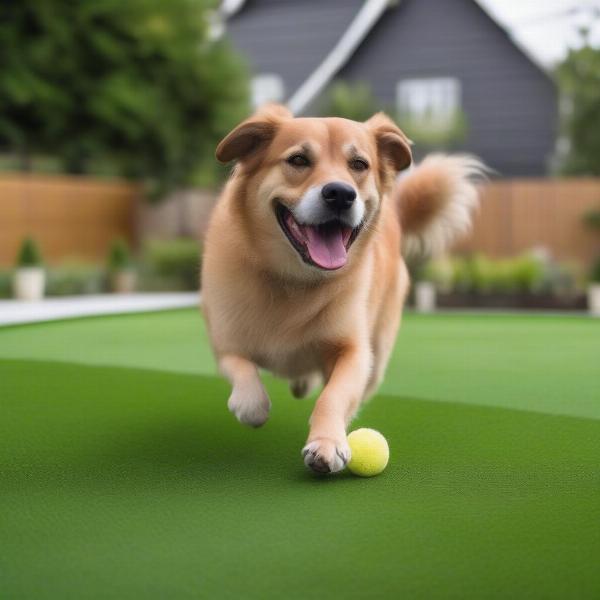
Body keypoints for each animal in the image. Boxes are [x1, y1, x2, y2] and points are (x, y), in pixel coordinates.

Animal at [202, 105, 482, 476]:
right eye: (299, 160)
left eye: (359, 164)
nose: (340, 193)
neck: (295, 280)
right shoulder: (225, 340)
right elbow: (242, 372)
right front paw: (252, 406)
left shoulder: (354, 351)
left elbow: (333, 395)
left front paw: (326, 442)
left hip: (379, 352)